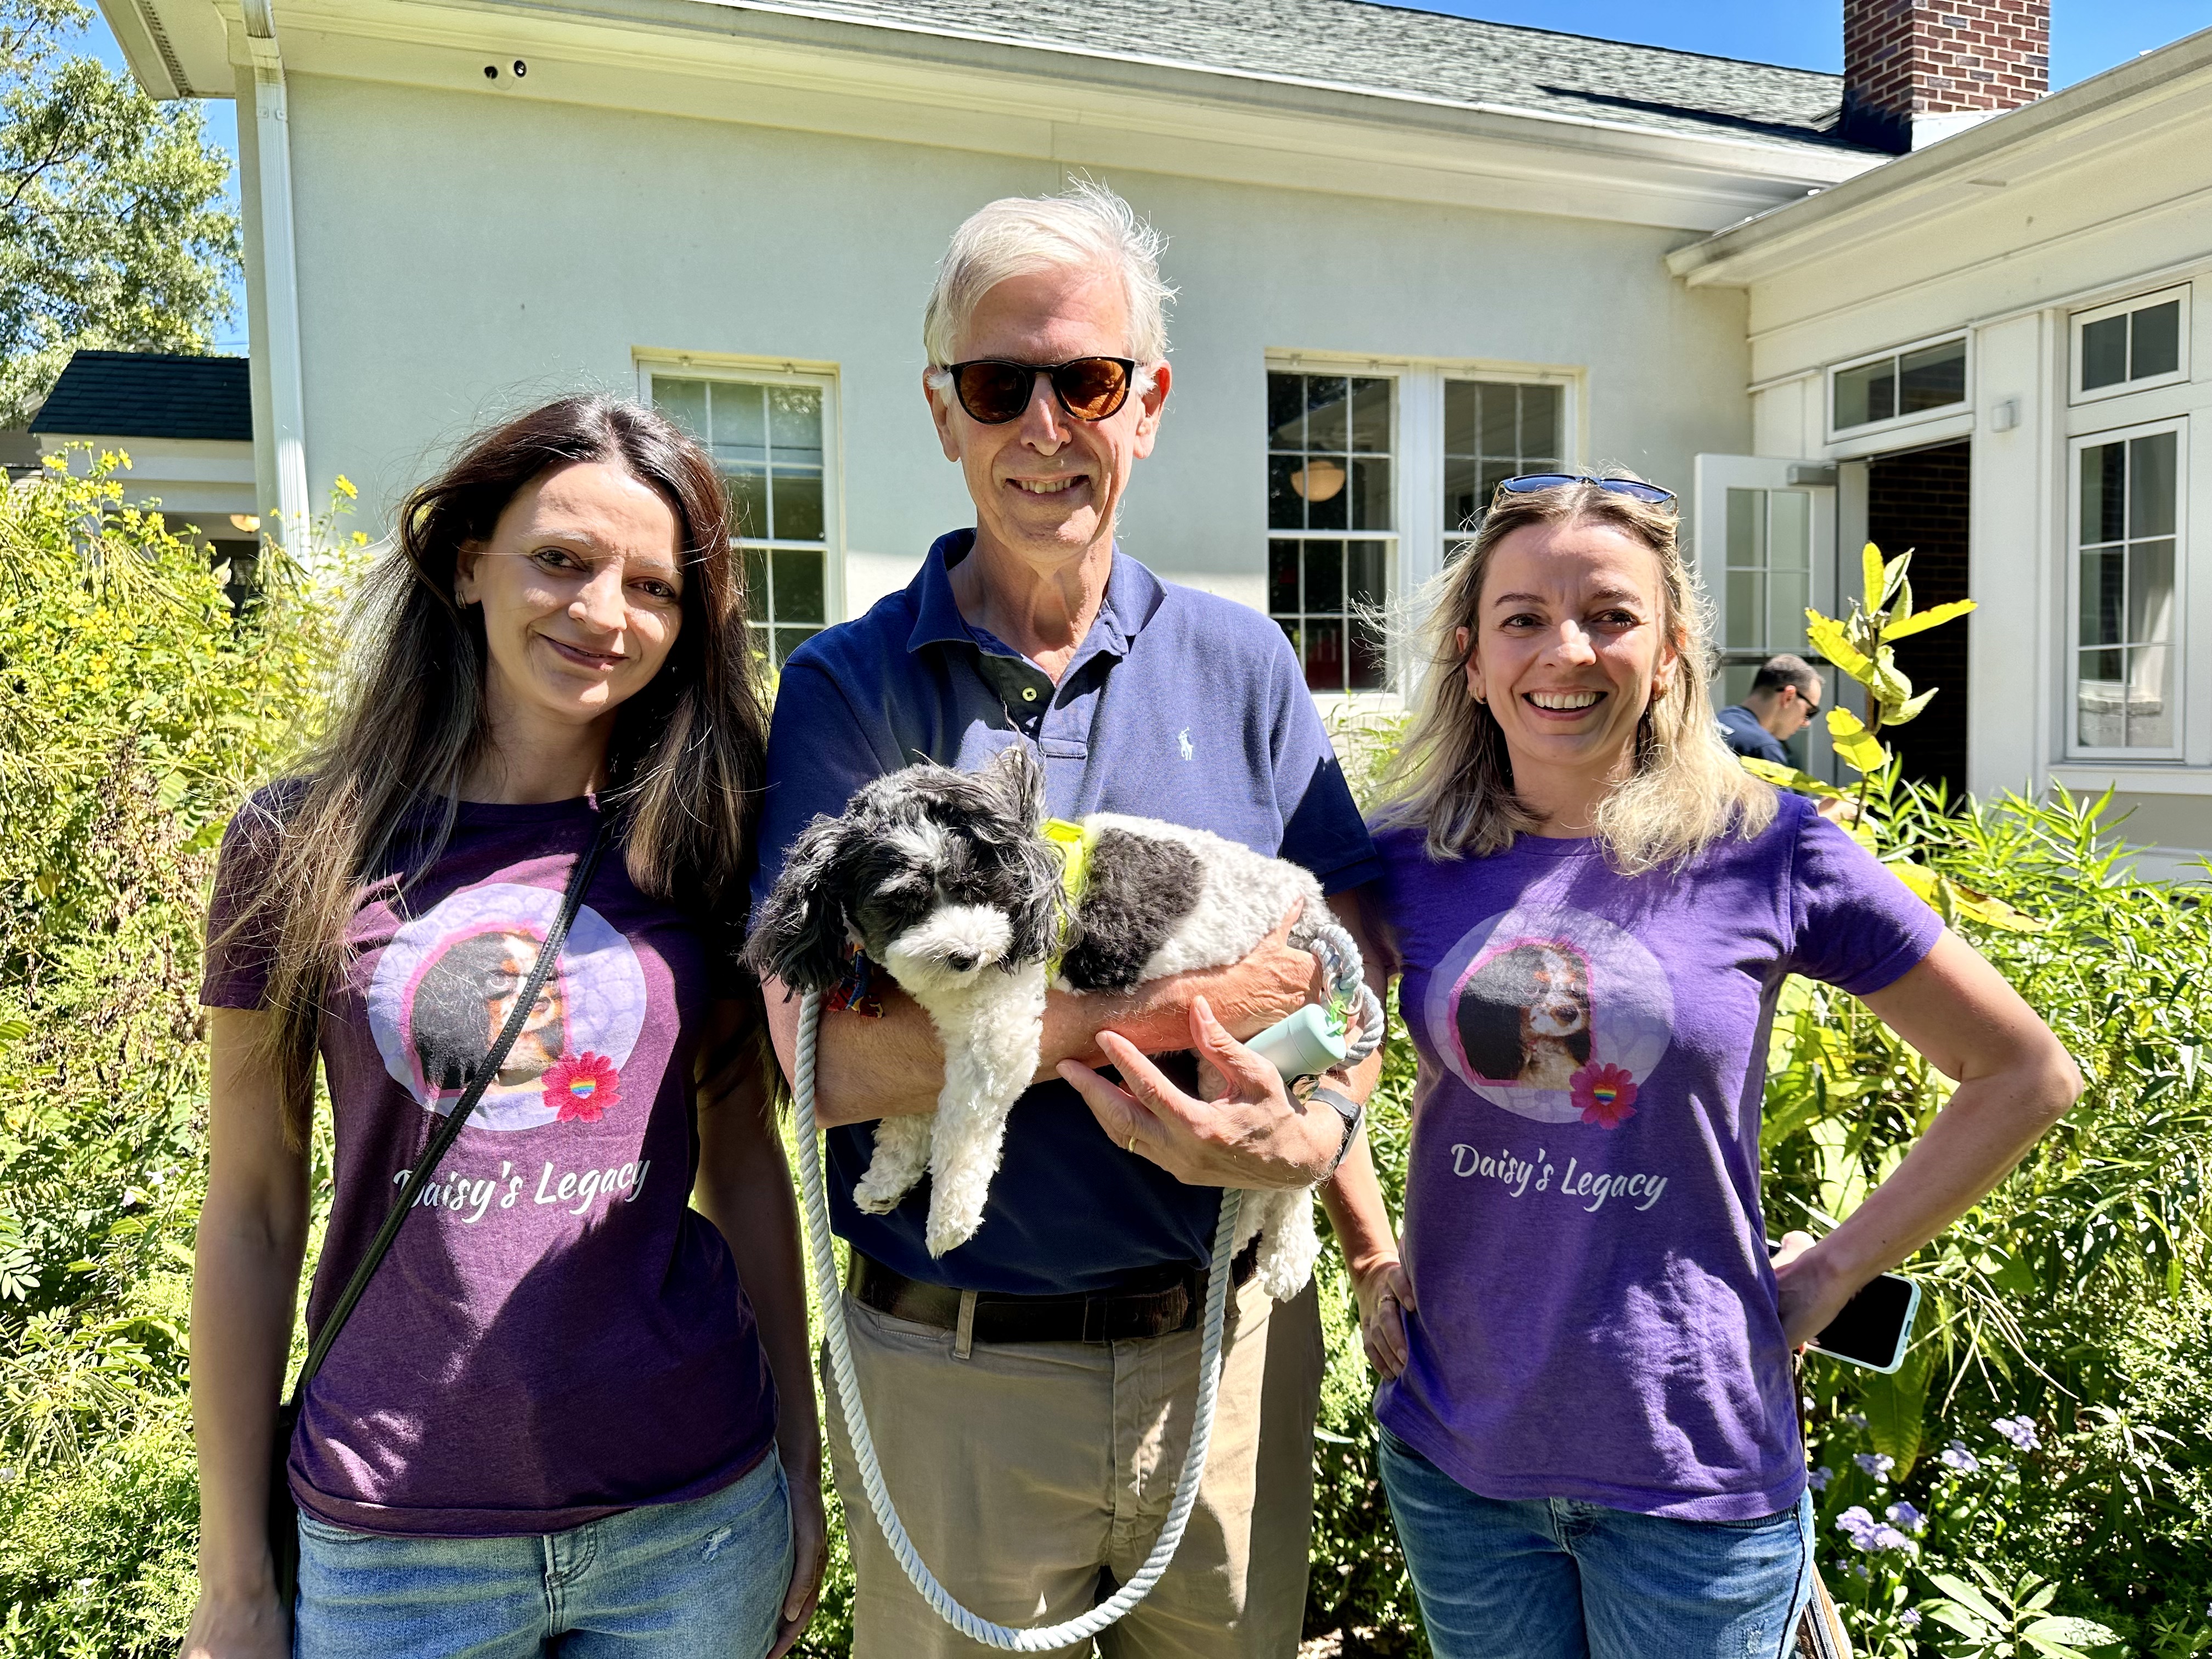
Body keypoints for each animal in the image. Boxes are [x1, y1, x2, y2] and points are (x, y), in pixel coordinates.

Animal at [746, 743, 1366, 1298]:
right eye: (900, 903)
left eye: (976, 888)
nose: (964, 955)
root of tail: (1313, 902)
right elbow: (911, 1112)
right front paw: (888, 1175)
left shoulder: (997, 1035)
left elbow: (962, 1131)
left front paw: (950, 1217)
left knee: (1286, 1177)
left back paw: (1275, 1251)